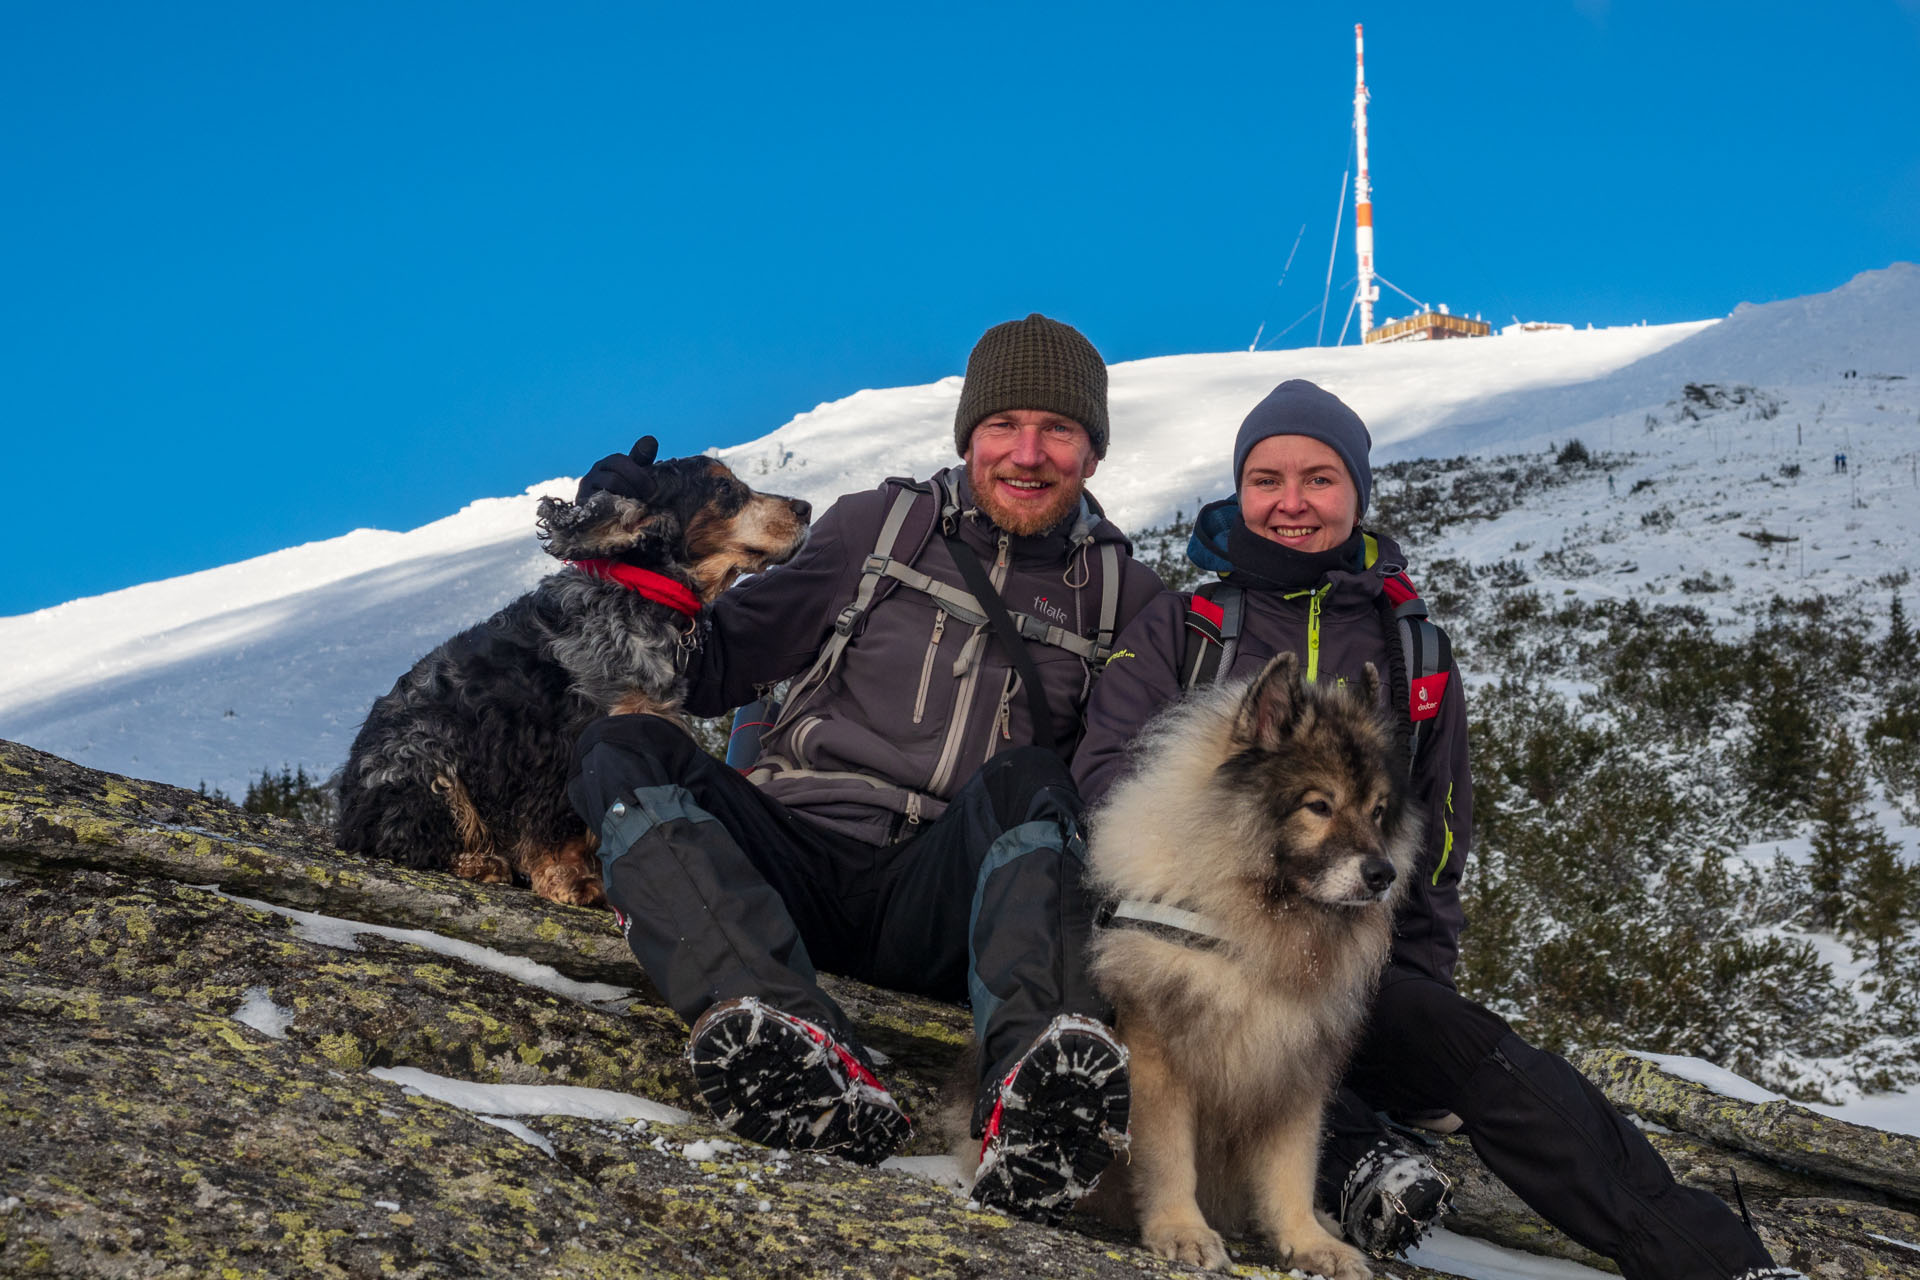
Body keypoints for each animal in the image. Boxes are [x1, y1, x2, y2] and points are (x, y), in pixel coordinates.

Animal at [334, 441, 806, 909]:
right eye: (725, 489)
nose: (805, 507)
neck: (638, 593)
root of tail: (349, 808)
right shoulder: (561, 744)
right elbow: (560, 828)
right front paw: (572, 881)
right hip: (424, 755)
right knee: (406, 836)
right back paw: (477, 861)